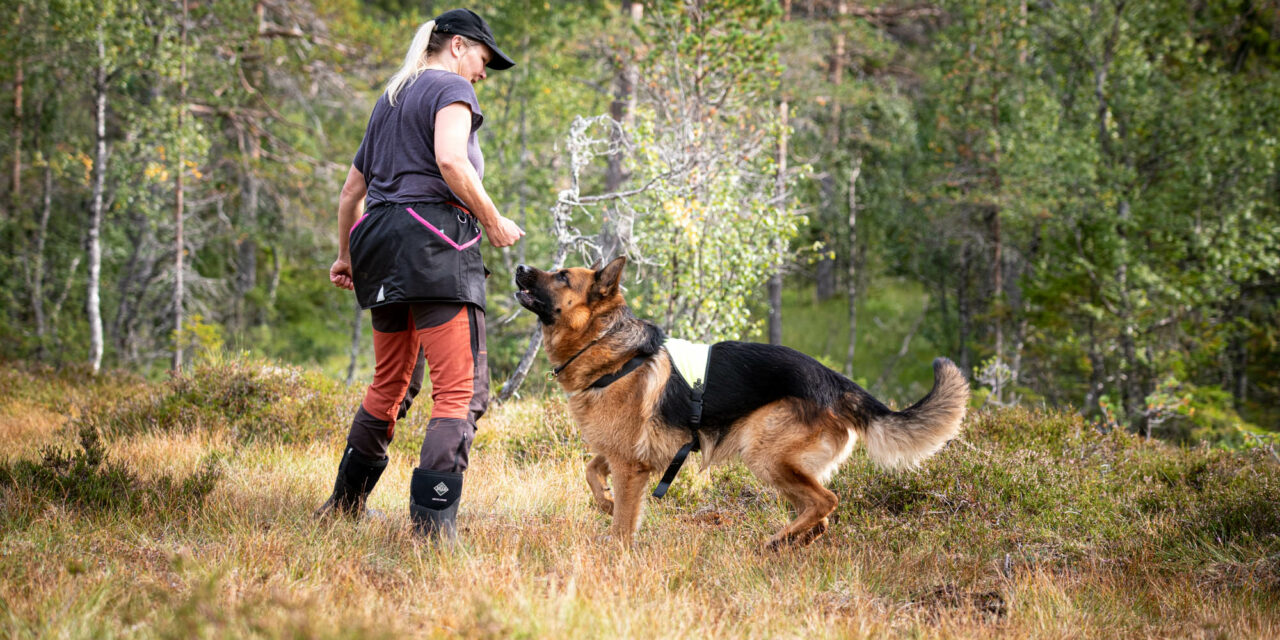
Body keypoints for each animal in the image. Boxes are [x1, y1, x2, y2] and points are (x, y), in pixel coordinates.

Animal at [514, 256, 962, 550]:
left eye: (562, 276)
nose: (519, 267)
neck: (605, 346)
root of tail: (837, 382)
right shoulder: (622, 454)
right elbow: (591, 471)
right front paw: (605, 502)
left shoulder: (631, 465)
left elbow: (623, 523)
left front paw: (615, 550)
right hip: (783, 465)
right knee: (820, 516)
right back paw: (788, 544)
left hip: (765, 455)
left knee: (826, 502)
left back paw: (776, 541)